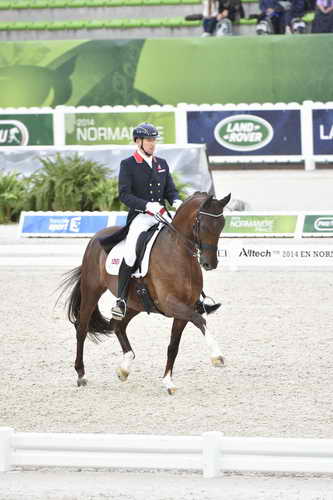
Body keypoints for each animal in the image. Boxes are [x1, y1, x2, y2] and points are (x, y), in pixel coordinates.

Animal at [59, 192, 230, 394]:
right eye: (202, 225)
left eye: (222, 225)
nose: (210, 263)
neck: (178, 254)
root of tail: (96, 237)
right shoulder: (171, 304)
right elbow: (200, 320)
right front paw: (217, 356)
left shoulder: (184, 309)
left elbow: (173, 346)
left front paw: (168, 381)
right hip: (92, 290)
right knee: (82, 329)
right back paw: (81, 375)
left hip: (135, 303)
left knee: (118, 325)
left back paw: (124, 368)